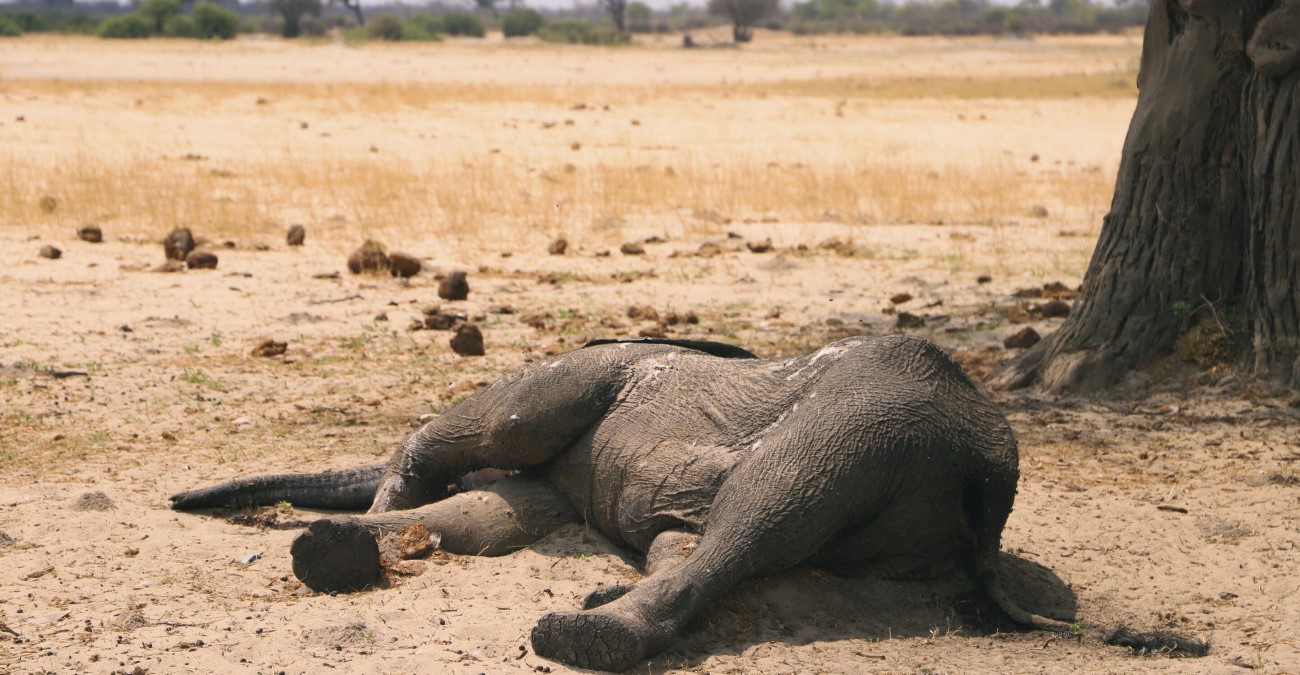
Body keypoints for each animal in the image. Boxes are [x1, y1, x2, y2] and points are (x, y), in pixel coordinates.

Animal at [172, 335, 1066, 671]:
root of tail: (990, 469)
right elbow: (496, 512)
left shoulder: (589, 370)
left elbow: (499, 433)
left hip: (872, 420)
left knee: (763, 506)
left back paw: (583, 635)